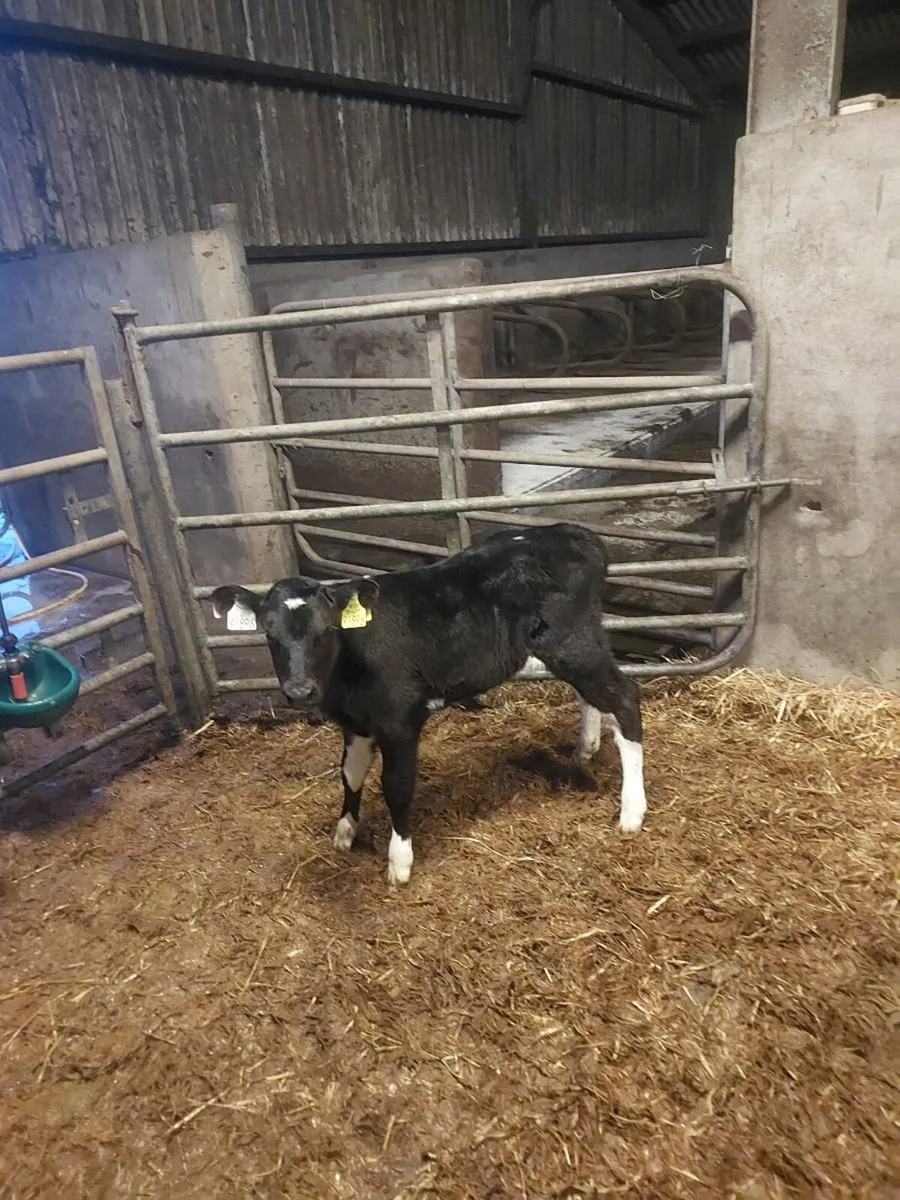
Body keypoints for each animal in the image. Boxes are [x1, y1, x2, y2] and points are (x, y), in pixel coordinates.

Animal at [210, 523, 646, 885]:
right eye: (269, 632)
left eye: (328, 629)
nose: (300, 691)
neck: (349, 668)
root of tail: (572, 532)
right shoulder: (355, 723)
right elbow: (350, 774)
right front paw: (345, 831)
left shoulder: (400, 719)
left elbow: (397, 785)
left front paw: (399, 861)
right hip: (568, 645)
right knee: (589, 693)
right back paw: (586, 748)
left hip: (571, 640)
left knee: (625, 697)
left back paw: (631, 812)